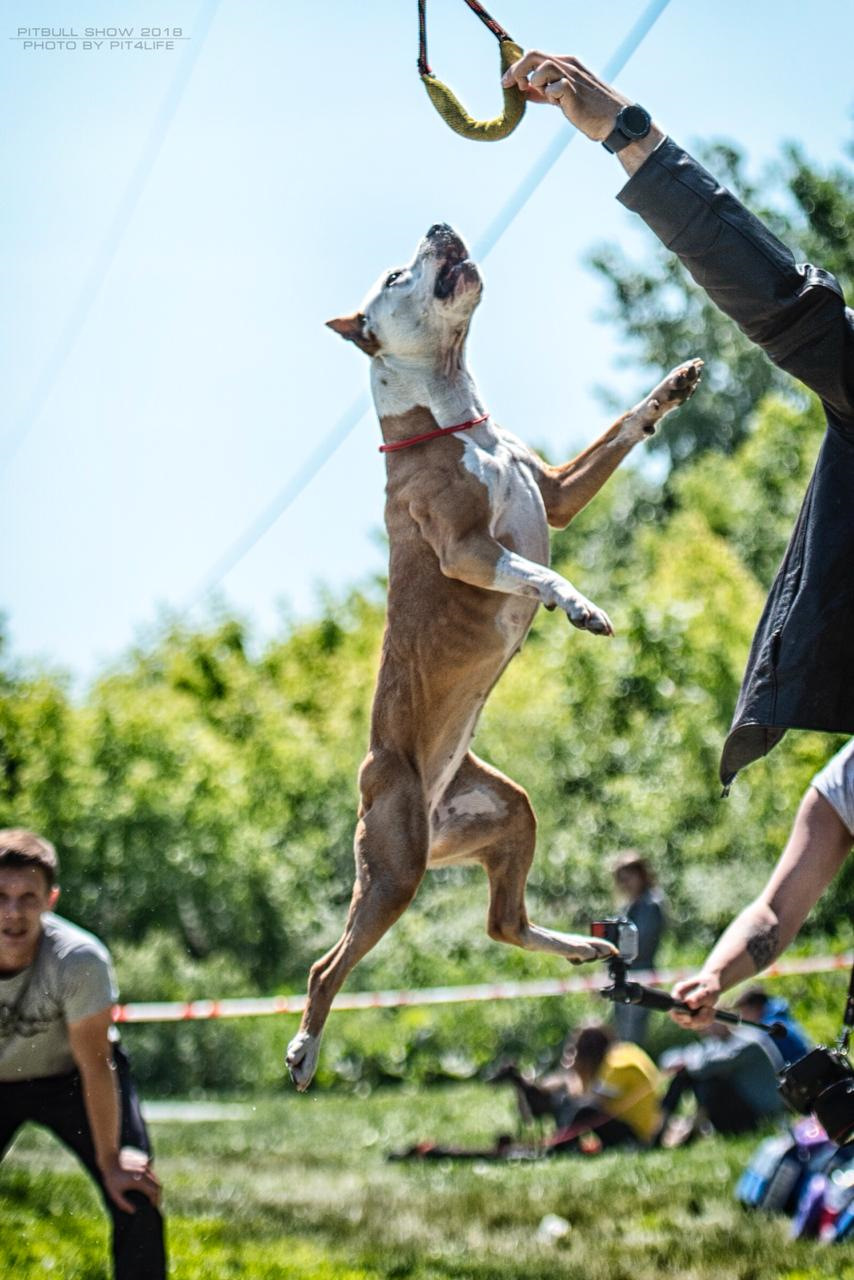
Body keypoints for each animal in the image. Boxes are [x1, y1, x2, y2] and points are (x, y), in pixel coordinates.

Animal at [286, 225, 701, 1085]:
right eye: (396, 273)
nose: (440, 227)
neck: (454, 421)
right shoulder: (468, 550)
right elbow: (537, 571)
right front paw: (577, 604)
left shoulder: (557, 492)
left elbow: (618, 433)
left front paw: (671, 389)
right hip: (395, 864)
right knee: (327, 966)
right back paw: (305, 1048)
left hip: (504, 813)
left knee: (503, 925)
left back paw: (583, 945)